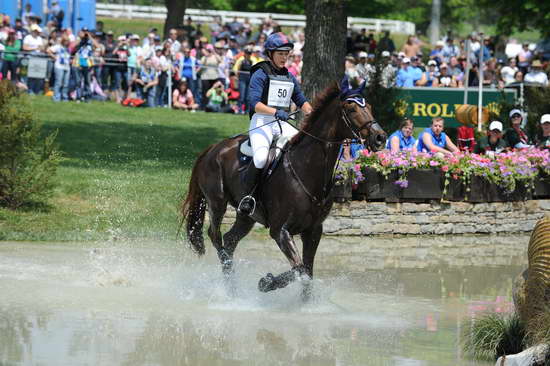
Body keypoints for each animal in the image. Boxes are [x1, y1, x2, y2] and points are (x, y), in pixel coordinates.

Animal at [181, 79, 388, 294]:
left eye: (369, 107)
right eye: (352, 108)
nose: (380, 138)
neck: (307, 168)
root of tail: (212, 149)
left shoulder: (313, 231)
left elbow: (307, 273)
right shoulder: (280, 231)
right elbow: (300, 269)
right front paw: (266, 282)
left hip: (246, 215)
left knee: (230, 240)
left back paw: (233, 289)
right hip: (217, 202)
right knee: (215, 236)